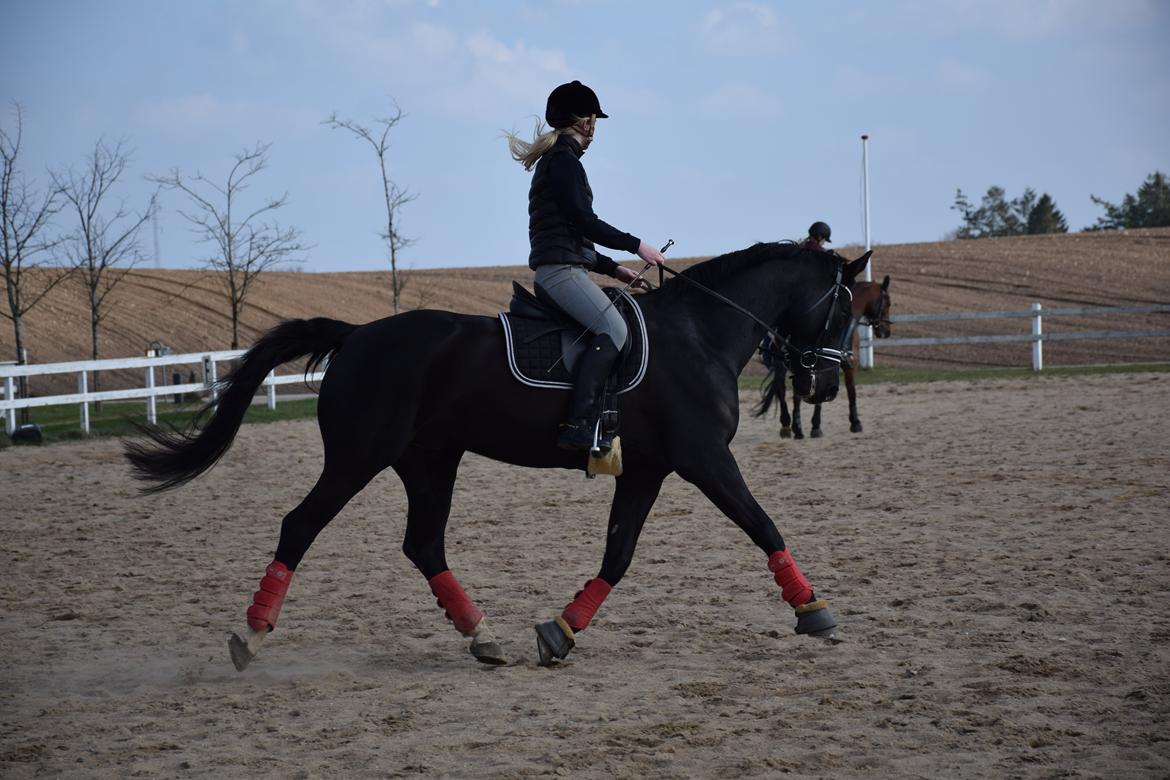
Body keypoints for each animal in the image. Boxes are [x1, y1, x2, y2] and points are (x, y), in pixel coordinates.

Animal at [128, 240, 875, 668]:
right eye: (844, 308)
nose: (823, 384)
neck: (699, 335)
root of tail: (358, 335)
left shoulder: (648, 469)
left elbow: (618, 555)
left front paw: (561, 632)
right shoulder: (704, 461)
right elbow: (763, 524)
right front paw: (814, 612)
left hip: (431, 461)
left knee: (423, 544)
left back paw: (481, 637)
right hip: (359, 457)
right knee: (301, 526)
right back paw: (252, 635)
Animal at [753, 275, 889, 439]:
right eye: (888, 303)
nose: (886, 331)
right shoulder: (845, 366)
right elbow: (851, 392)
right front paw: (854, 422)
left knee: (783, 390)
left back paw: (790, 426)